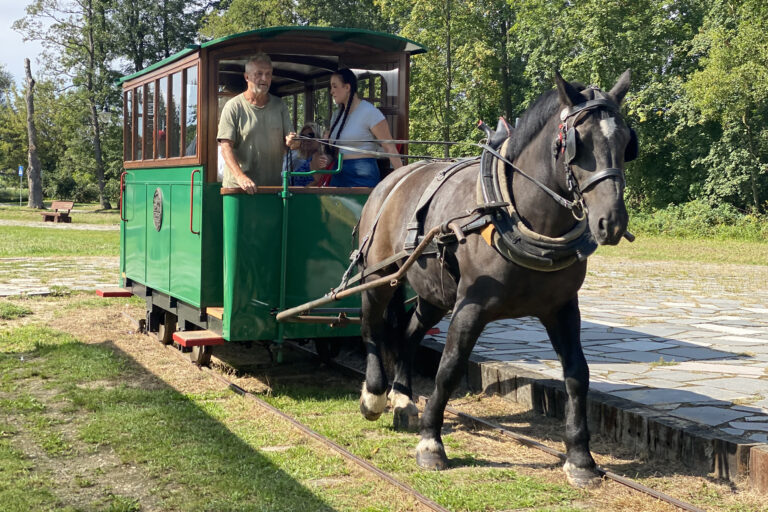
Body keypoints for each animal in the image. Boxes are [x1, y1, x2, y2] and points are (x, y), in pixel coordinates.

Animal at [354, 70, 636, 486]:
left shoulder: (562, 308)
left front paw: (580, 458)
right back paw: (374, 394)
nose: (611, 221)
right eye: (575, 143)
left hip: (435, 293)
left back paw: (402, 395)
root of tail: (395, 176)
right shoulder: (471, 307)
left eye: (625, 141)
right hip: (381, 274)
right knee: (371, 325)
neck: (516, 213)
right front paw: (431, 443)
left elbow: (577, 374)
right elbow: (450, 368)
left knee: (409, 332)